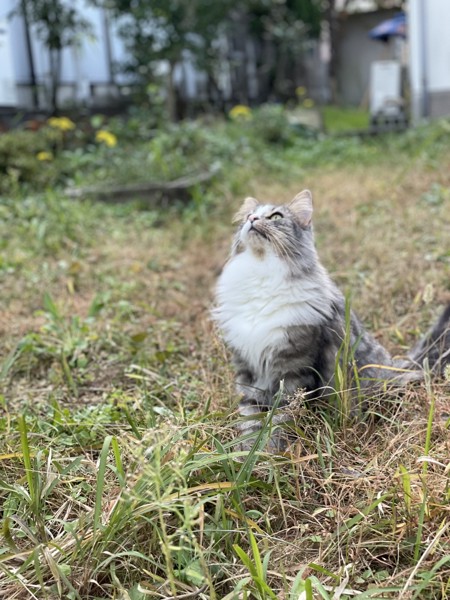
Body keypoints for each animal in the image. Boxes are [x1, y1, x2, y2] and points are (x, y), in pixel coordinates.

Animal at [214, 190, 450, 448]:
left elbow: (280, 418)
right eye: (248, 215)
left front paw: (270, 450)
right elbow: (249, 417)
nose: (253, 219)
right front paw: (246, 451)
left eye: (275, 216)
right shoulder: (247, 370)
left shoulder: (293, 370)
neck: (261, 274)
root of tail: (395, 366)